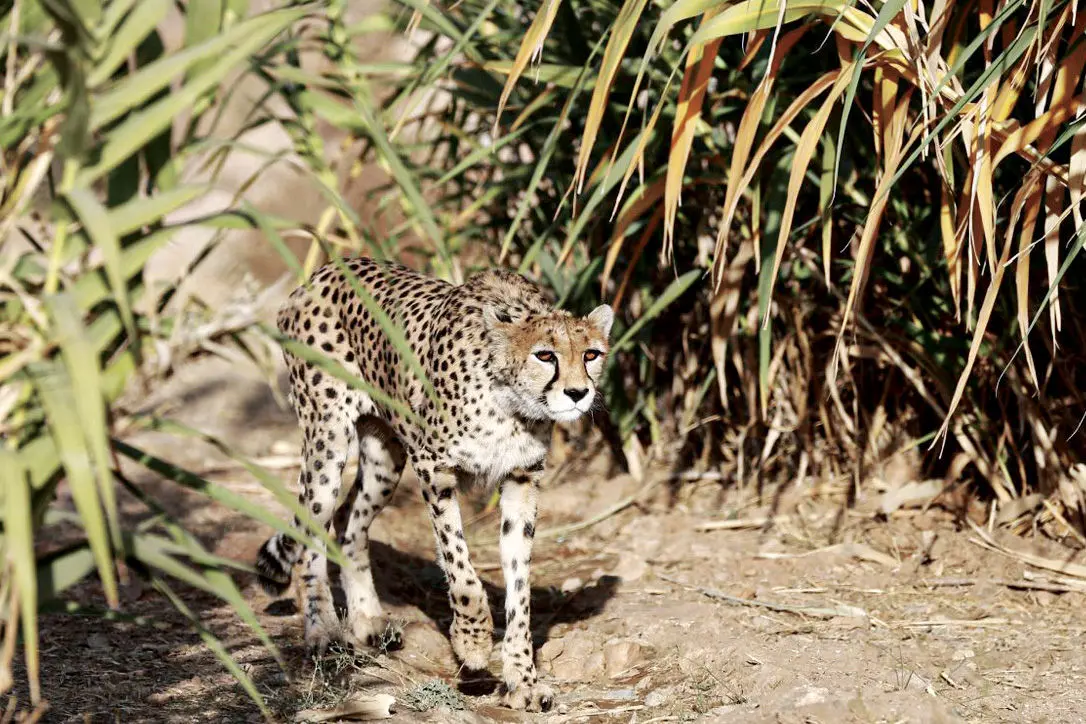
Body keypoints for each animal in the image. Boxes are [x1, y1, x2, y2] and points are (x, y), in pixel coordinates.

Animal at [251, 257, 612, 712]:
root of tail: (325, 270)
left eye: (591, 354)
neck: (510, 403)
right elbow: (462, 570)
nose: (578, 393)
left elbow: (519, 586)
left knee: (349, 521)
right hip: (327, 441)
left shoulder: (521, 480)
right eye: (545, 355)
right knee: (312, 530)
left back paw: (367, 620)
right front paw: (472, 643)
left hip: (384, 458)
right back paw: (324, 632)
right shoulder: (434, 469)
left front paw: (522, 680)